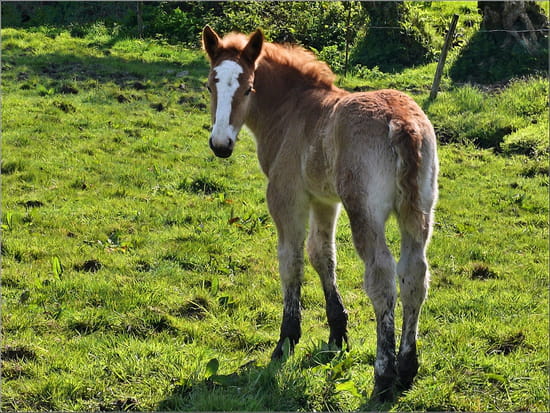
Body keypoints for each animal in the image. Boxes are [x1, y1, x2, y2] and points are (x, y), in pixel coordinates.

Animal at [203, 26, 440, 400]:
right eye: (210, 86)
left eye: (248, 88)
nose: (221, 144)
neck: (292, 111)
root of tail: (402, 123)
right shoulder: (325, 201)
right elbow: (322, 255)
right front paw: (337, 331)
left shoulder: (288, 198)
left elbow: (292, 260)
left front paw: (286, 339)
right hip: (419, 211)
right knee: (414, 275)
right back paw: (407, 368)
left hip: (366, 212)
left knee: (382, 278)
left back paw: (384, 374)